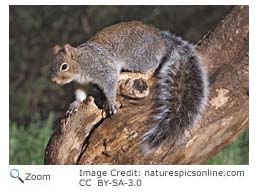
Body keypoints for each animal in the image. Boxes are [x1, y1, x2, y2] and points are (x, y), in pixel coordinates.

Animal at [50, 21, 208, 152]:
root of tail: (161, 40)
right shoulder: (82, 83)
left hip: (139, 59)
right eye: (51, 66)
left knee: (153, 64)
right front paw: (75, 104)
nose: (53, 81)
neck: (82, 63)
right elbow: (81, 94)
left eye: (64, 66)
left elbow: (110, 83)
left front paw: (111, 102)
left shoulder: (104, 70)